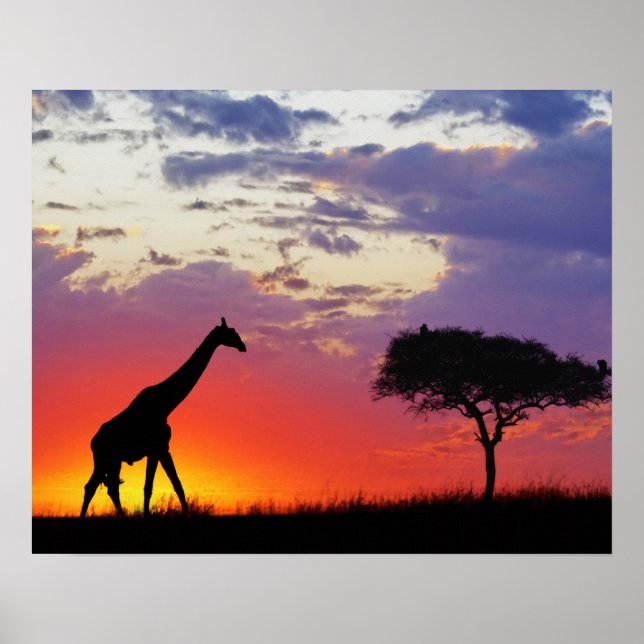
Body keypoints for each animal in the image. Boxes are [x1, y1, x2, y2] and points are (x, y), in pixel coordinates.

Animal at [80, 318, 246, 517]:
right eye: (232, 332)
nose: (243, 346)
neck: (165, 405)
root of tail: (93, 442)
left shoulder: (163, 448)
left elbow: (176, 484)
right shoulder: (155, 448)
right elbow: (149, 487)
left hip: (113, 460)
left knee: (109, 487)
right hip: (104, 459)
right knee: (93, 487)